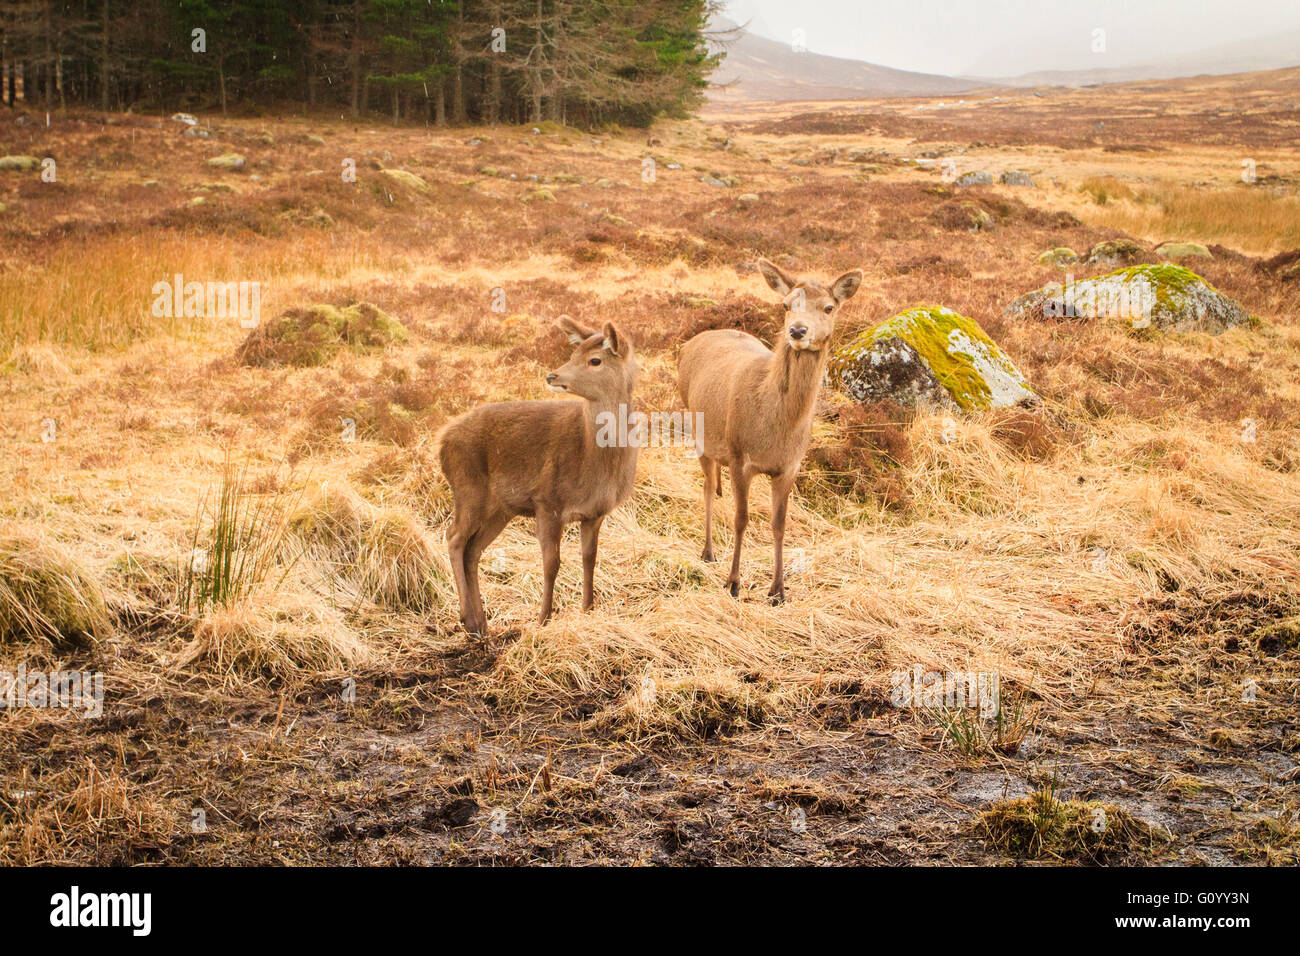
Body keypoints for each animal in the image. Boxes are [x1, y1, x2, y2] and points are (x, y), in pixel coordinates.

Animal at [439, 317, 637, 639]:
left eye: (595, 360)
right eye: (573, 352)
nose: (552, 375)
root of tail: (441, 440)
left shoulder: (595, 512)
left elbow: (590, 558)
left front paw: (588, 609)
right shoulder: (547, 501)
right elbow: (551, 563)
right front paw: (543, 618)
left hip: (501, 508)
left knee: (473, 549)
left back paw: (482, 622)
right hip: (467, 487)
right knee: (454, 537)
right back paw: (469, 620)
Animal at [676, 256, 857, 606]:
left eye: (829, 307)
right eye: (786, 304)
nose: (797, 330)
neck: (774, 430)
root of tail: (691, 342)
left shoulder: (790, 467)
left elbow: (779, 523)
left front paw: (778, 591)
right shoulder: (738, 456)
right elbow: (741, 518)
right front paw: (733, 583)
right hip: (697, 429)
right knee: (707, 488)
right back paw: (708, 552)